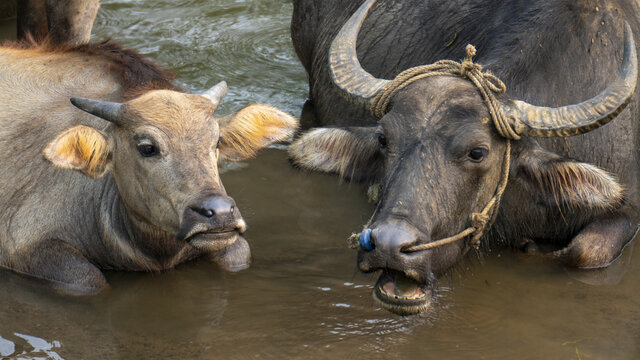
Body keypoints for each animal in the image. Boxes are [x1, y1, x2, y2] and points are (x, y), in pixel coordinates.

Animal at [0, 38, 298, 292]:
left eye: (216, 141)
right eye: (147, 147)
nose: (220, 213)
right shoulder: (27, 247)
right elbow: (88, 279)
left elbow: (239, 252)